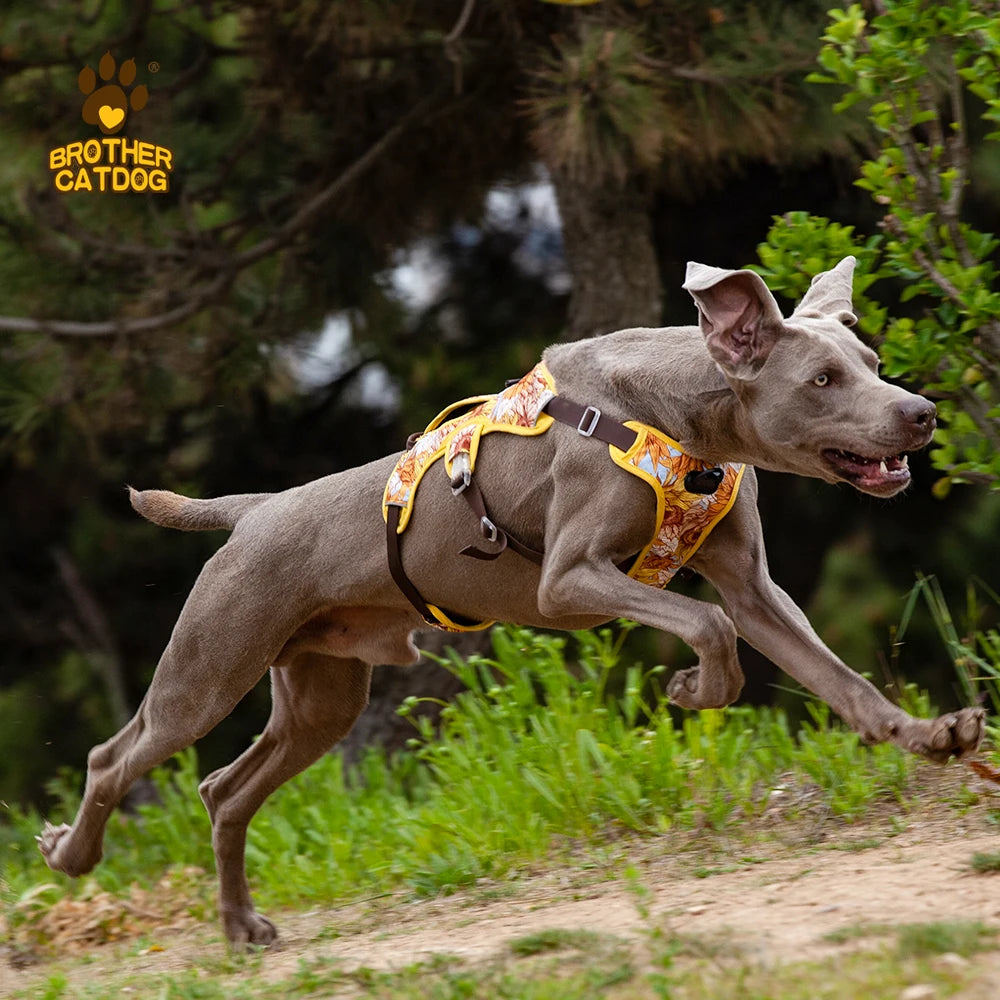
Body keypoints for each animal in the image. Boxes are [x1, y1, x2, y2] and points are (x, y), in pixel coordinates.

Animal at [39, 256, 984, 944]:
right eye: (822, 379)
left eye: (870, 364)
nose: (922, 412)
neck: (685, 415)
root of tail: (253, 511)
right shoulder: (568, 580)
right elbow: (705, 623)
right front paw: (694, 690)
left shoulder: (754, 588)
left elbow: (838, 680)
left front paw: (931, 736)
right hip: (209, 667)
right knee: (113, 758)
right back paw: (72, 855)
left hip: (321, 694)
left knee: (225, 790)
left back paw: (240, 927)